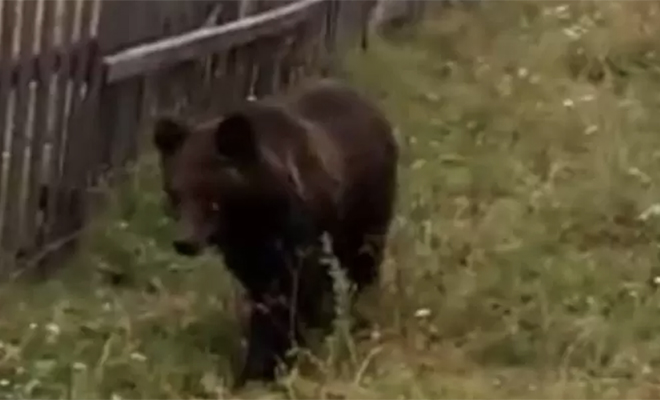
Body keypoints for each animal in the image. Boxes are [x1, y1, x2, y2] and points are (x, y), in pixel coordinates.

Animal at [153, 78, 400, 388]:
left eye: (210, 195)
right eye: (176, 192)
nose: (184, 241)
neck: (252, 215)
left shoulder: (298, 239)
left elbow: (294, 295)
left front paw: (284, 358)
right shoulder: (247, 253)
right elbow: (266, 300)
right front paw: (255, 368)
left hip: (368, 208)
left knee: (364, 260)